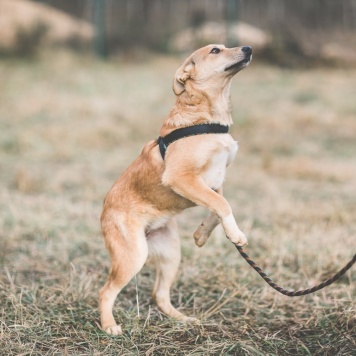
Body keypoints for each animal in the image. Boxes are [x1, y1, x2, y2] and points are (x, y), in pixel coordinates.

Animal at [98, 43, 252, 336]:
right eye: (216, 50)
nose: (248, 48)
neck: (209, 117)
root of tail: (103, 213)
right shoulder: (181, 177)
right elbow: (222, 205)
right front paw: (236, 234)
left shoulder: (216, 182)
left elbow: (217, 208)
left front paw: (202, 235)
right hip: (133, 255)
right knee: (106, 291)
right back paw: (109, 326)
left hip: (171, 253)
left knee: (159, 294)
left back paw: (181, 319)